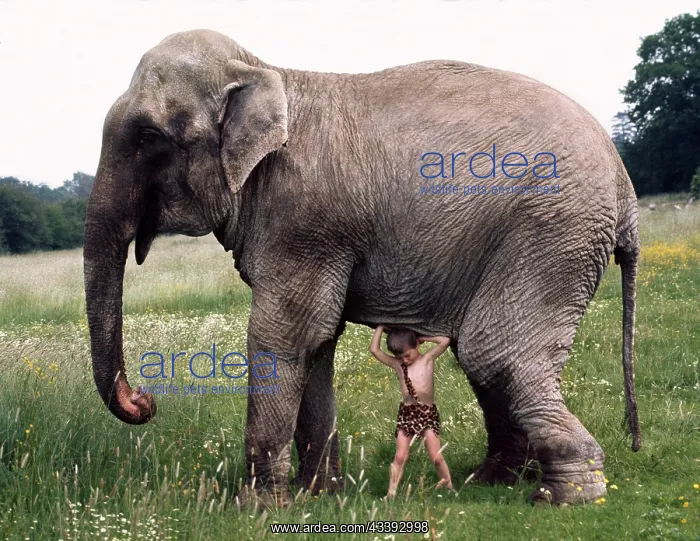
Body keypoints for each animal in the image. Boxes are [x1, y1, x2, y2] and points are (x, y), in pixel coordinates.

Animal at [84, 29, 641, 506]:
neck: (266, 70)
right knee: (487, 354)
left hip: (553, 232)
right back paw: (496, 481)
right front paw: (317, 497)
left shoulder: (303, 220)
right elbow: (317, 342)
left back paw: (567, 494)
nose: (145, 400)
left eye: (148, 136)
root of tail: (625, 189)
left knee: (494, 352)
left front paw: (255, 509)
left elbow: (283, 335)